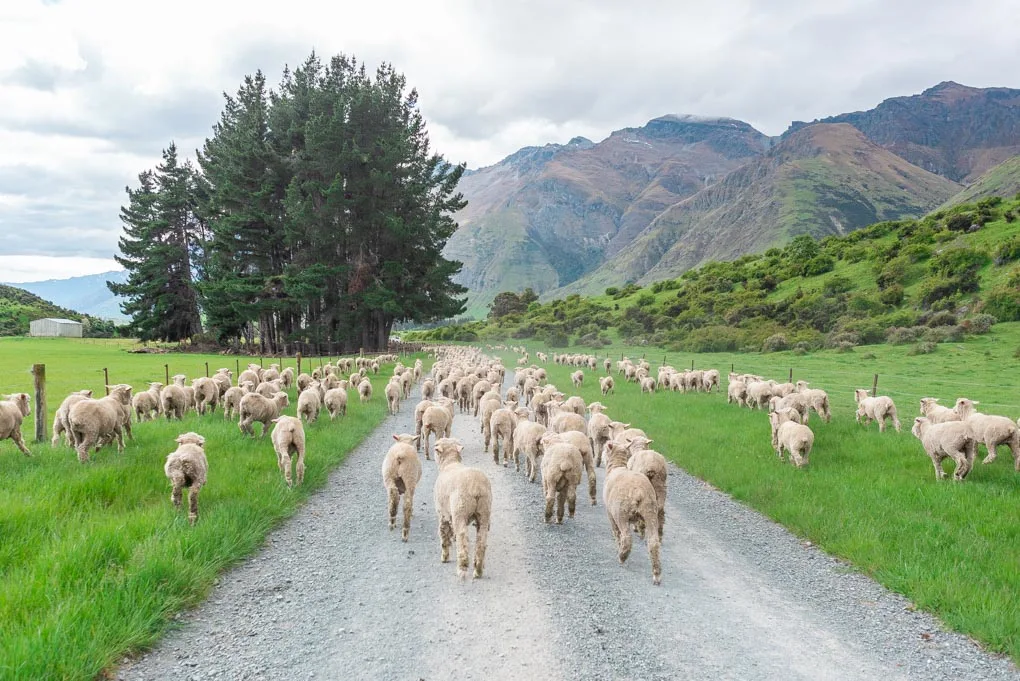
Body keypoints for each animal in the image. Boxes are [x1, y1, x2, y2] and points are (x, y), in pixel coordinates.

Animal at [433, 438, 492, 579]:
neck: (449, 463)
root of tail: (476, 486)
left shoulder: (443, 513)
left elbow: (443, 533)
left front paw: (444, 557)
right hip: (484, 512)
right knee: (481, 541)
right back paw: (478, 570)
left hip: (460, 511)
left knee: (462, 539)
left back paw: (462, 568)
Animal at [603, 441, 661, 585]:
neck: (616, 466)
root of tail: (639, 491)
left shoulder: (610, 513)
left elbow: (616, 532)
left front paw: (617, 545)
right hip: (651, 511)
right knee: (653, 542)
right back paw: (656, 574)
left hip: (621, 512)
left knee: (626, 537)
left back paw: (622, 556)